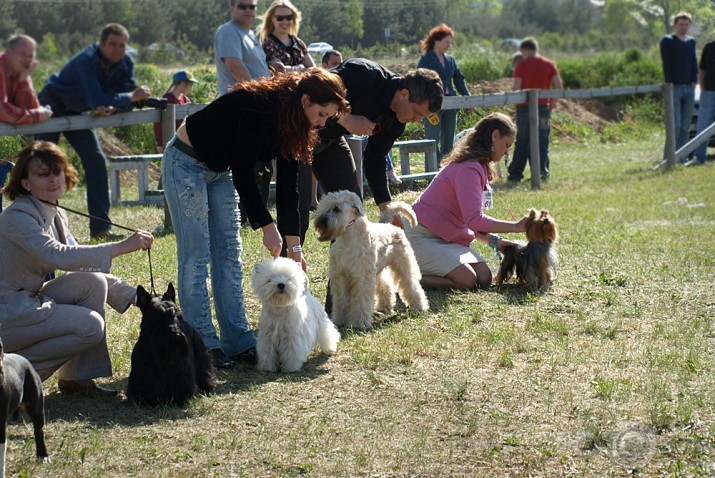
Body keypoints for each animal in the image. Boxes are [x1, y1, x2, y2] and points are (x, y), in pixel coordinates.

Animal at [314, 189, 428, 330]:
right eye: (324, 206)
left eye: (336, 208)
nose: (321, 221)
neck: (348, 239)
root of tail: (388, 224)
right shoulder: (340, 276)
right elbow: (341, 300)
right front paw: (339, 320)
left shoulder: (362, 276)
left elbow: (361, 300)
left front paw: (360, 323)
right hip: (377, 271)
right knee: (385, 286)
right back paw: (385, 306)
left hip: (402, 264)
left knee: (411, 284)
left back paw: (419, 307)